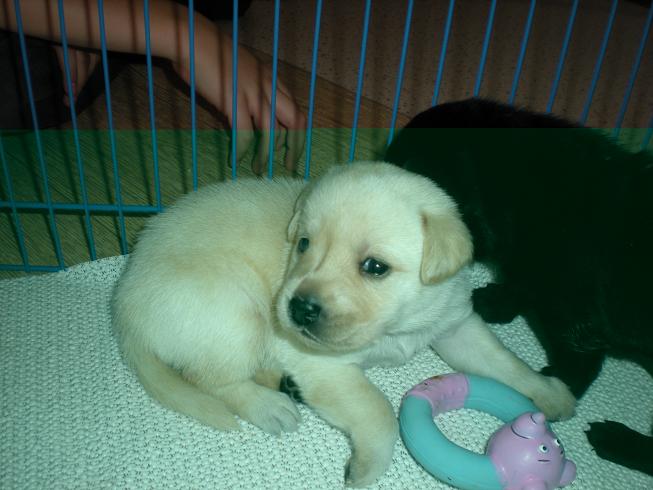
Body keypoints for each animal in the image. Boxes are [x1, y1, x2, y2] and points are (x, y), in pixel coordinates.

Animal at [112, 161, 575, 487]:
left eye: (374, 267)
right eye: (303, 244)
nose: (299, 309)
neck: (394, 328)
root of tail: (124, 304)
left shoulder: (455, 325)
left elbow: (505, 362)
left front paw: (550, 393)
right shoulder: (324, 365)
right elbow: (379, 411)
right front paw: (366, 467)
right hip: (237, 314)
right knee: (211, 379)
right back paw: (270, 406)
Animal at [385, 97, 653, 476]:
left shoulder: (572, 316)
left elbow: (577, 367)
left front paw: (550, 387)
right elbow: (518, 285)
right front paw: (494, 302)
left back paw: (617, 441)